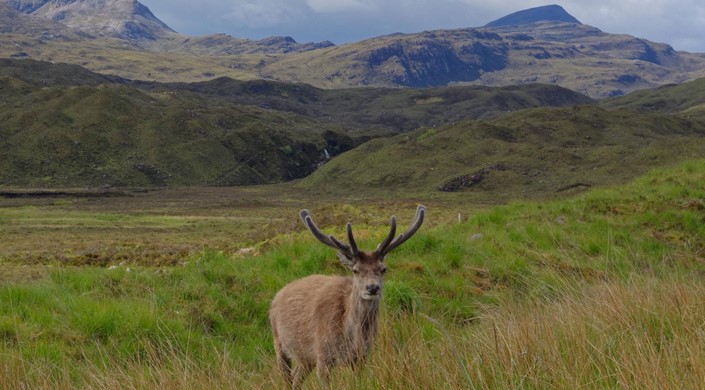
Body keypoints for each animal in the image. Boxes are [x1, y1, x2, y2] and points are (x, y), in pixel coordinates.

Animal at [268, 204, 424, 386]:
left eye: (383, 269)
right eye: (355, 270)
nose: (372, 288)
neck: (352, 337)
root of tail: (277, 296)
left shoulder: (362, 358)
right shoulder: (323, 355)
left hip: (305, 358)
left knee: (296, 379)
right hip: (279, 343)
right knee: (287, 378)